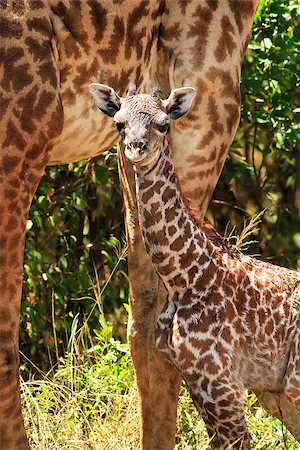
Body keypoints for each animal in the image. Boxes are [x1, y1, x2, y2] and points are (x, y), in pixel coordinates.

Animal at [89, 82, 300, 448]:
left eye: (164, 124)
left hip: (293, 386)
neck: (186, 279)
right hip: (282, 395)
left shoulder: (221, 381)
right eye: (119, 123)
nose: (136, 148)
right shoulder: (194, 379)